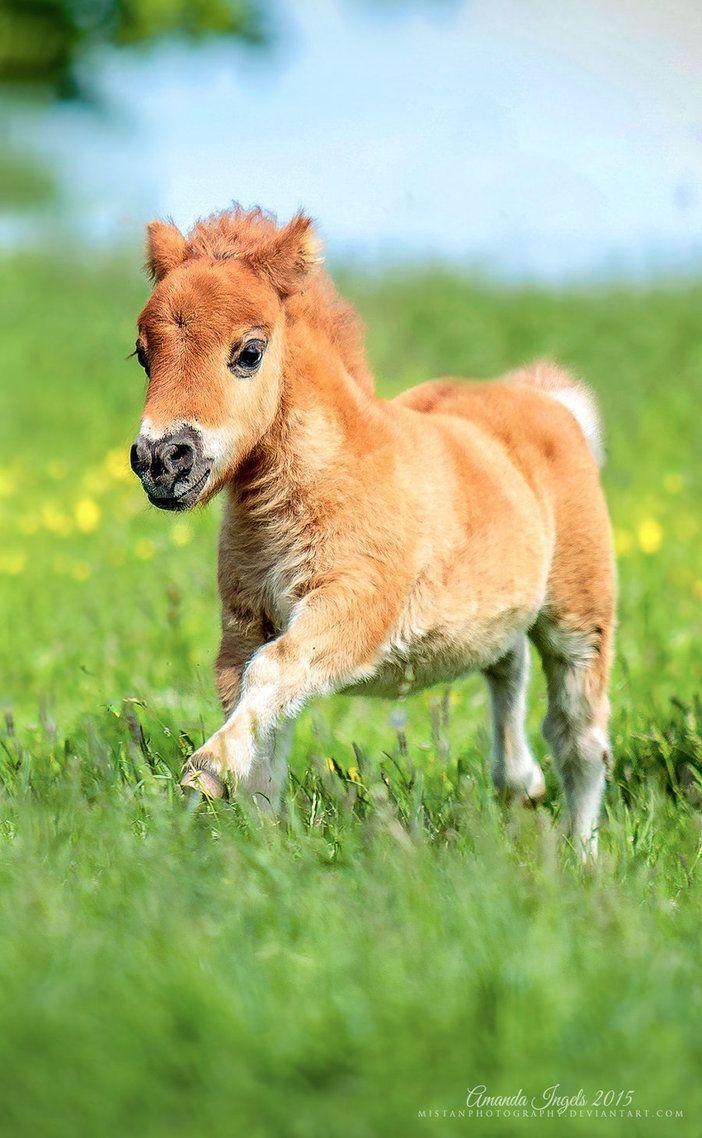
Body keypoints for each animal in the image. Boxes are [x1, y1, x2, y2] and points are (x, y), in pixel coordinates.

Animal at [129, 206, 615, 857]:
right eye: (142, 354)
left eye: (250, 351)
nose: (162, 459)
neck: (328, 476)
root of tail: (550, 404)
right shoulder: (244, 623)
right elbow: (262, 721)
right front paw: (261, 840)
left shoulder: (355, 606)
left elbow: (272, 673)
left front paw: (207, 770)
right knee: (505, 660)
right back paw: (521, 782)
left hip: (579, 615)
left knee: (579, 736)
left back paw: (583, 857)